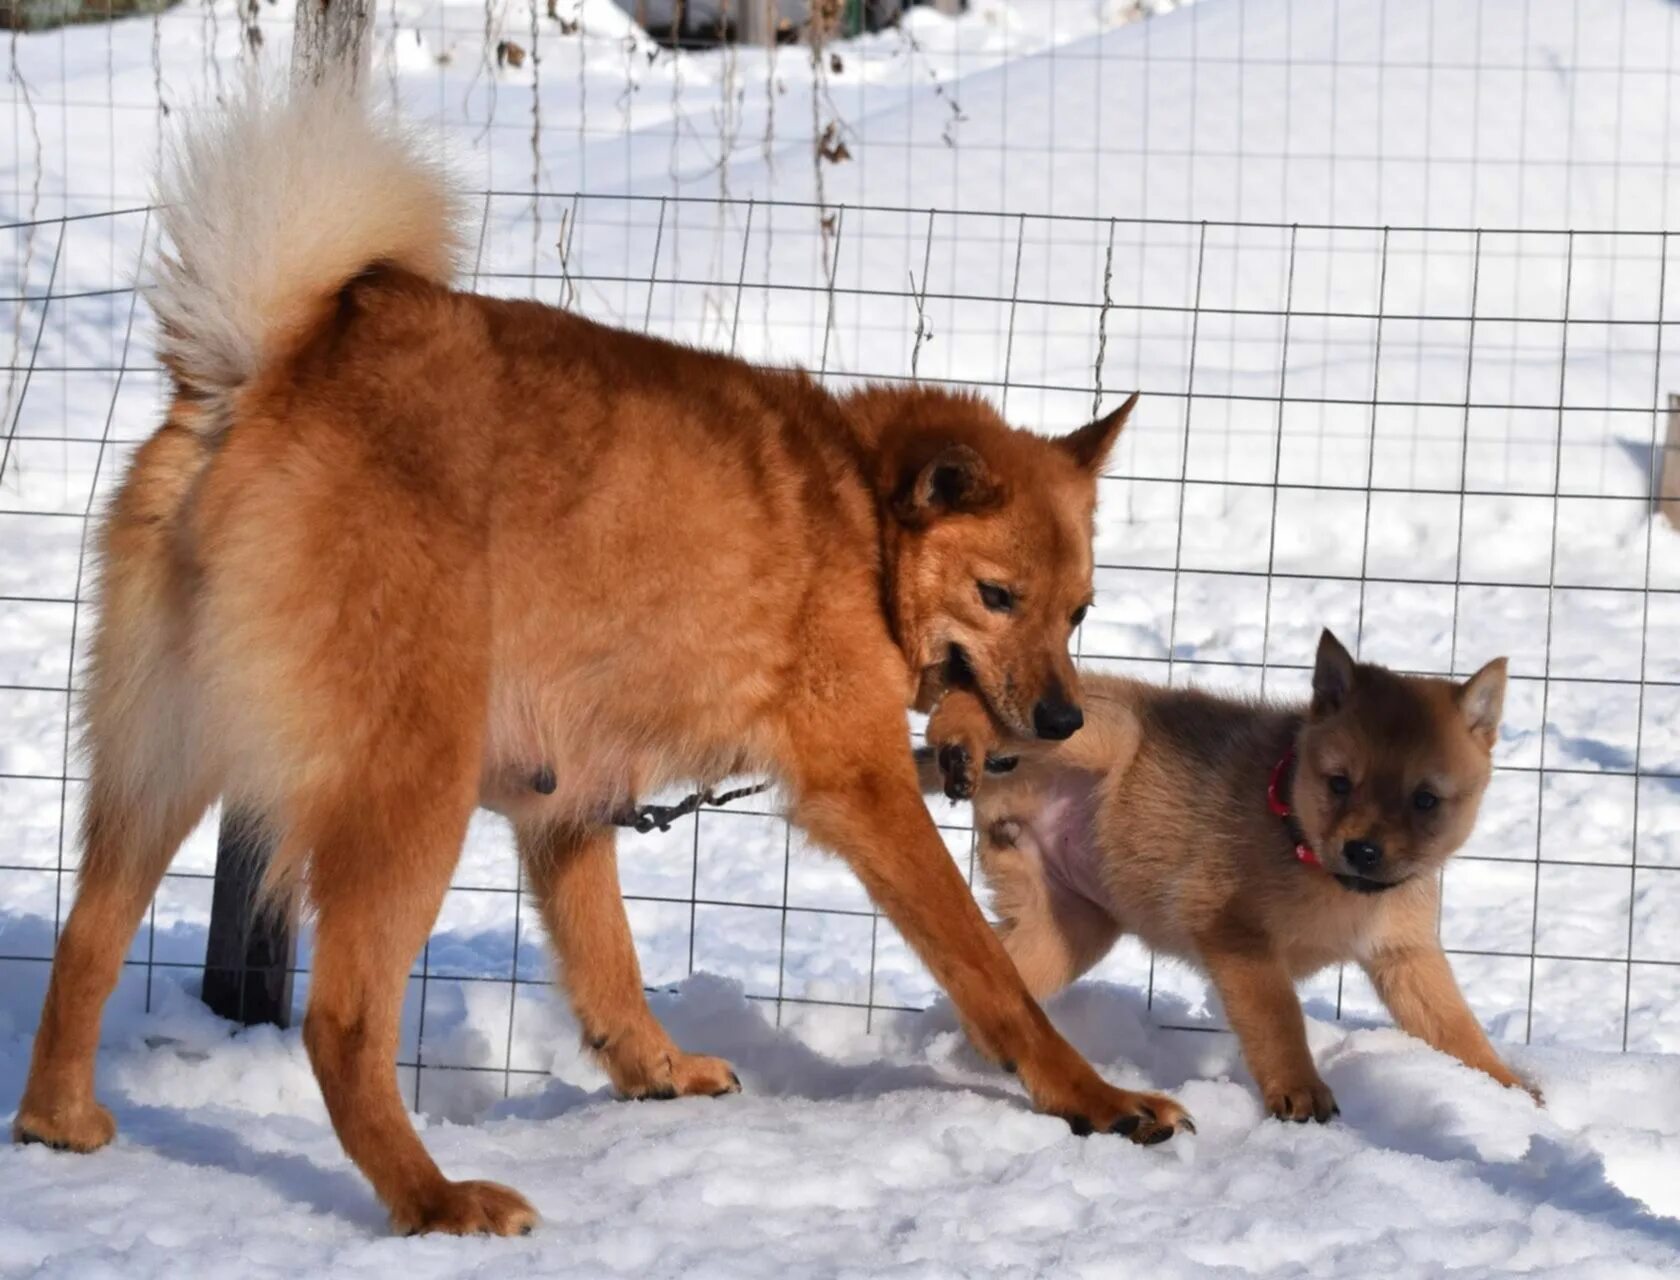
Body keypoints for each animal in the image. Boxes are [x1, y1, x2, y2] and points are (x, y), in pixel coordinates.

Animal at [16, 82, 1196, 1236]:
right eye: (998, 598)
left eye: (1081, 612)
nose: (1060, 721)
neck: (859, 512)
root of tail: (262, 369)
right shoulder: (859, 789)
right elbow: (990, 975)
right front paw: (1093, 1098)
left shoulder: (566, 809)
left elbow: (612, 972)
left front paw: (656, 1074)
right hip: (408, 800)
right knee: (342, 1021)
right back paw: (435, 1200)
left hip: (157, 774)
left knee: (86, 944)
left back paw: (57, 1123)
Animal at [927, 634, 1538, 1122]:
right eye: (1339, 783)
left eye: (1425, 799)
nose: (1362, 851)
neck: (1306, 851)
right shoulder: (1235, 936)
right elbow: (1278, 1019)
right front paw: (1300, 1092)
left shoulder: (1406, 955)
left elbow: (1455, 1026)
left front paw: (1508, 1090)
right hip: (1105, 731)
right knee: (975, 710)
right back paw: (957, 734)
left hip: (1070, 932)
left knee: (988, 984)